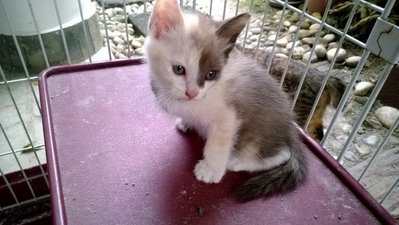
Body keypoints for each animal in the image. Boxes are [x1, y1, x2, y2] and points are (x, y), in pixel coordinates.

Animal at [145, 0, 308, 200]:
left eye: (211, 74)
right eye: (178, 69)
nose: (192, 93)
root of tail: (291, 129)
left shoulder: (228, 117)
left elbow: (218, 144)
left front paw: (211, 170)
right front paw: (187, 122)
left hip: (256, 137)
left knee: (281, 154)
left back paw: (235, 162)